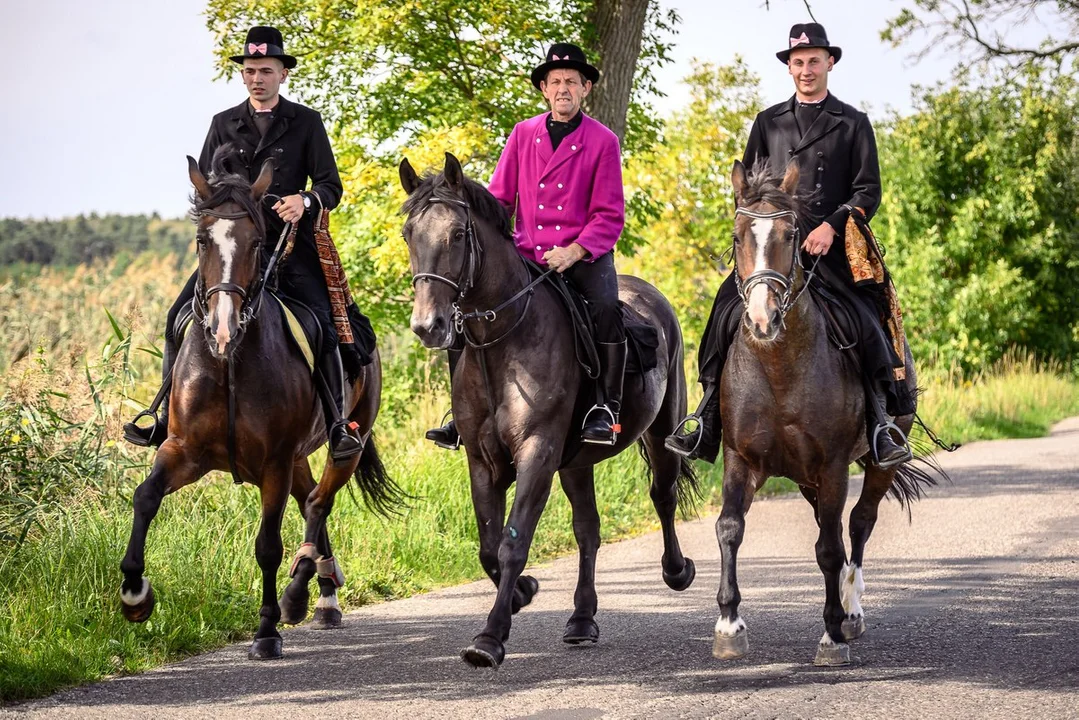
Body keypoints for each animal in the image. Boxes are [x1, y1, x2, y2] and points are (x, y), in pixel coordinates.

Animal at [118, 148, 403, 660]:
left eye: (257, 242)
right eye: (202, 241)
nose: (223, 328)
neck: (229, 365)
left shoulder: (273, 463)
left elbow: (268, 544)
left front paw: (267, 630)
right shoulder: (183, 451)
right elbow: (145, 496)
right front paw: (134, 595)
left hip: (344, 443)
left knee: (318, 502)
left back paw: (302, 592)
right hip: (297, 459)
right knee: (309, 500)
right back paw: (322, 591)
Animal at [399, 153, 699, 669]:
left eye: (457, 234)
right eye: (407, 233)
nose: (427, 326)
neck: (501, 343)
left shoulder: (537, 452)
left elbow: (513, 542)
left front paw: (490, 638)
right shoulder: (482, 461)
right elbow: (488, 546)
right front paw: (523, 592)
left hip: (660, 435)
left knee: (662, 496)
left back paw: (677, 571)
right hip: (576, 462)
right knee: (588, 530)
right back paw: (581, 619)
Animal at [707, 160, 936, 669]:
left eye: (792, 234)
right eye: (737, 236)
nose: (763, 320)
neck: (779, 367)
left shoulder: (832, 466)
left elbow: (830, 549)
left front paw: (831, 635)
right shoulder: (740, 458)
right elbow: (730, 528)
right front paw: (729, 625)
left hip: (876, 463)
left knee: (859, 523)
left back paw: (850, 612)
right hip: (805, 477)